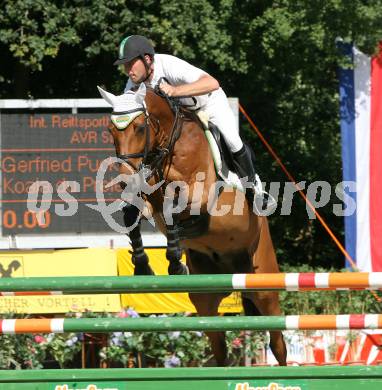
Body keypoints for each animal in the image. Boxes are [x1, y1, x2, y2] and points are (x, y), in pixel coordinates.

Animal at [98, 82, 286, 366]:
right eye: (110, 130)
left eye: (140, 127)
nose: (124, 178)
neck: (170, 145)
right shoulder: (149, 199)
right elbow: (134, 215)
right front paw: (144, 264)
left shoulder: (201, 199)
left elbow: (175, 210)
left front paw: (175, 260)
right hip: (205, 299)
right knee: (219, 345)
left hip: (264, 287)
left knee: (277, 342)